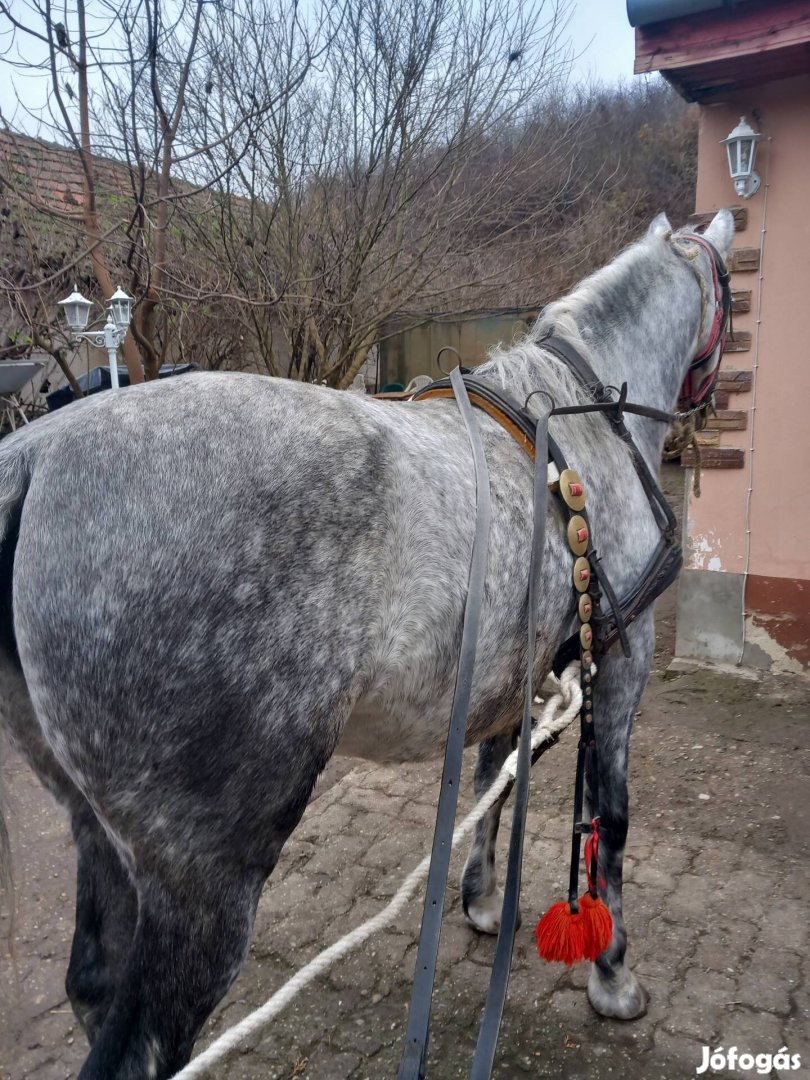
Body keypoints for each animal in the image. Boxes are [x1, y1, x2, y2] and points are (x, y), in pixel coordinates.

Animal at [0, 212, 734, 1080]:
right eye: (730, 291)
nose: (715, 404)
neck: (579, 423)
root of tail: (37, 455)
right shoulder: (621, 657)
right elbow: (611, 818)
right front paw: (612, 975)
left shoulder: (508, 672)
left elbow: (495, 779)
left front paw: (481, 900)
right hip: (200, 878)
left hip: (98, 830)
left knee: (91, 981)